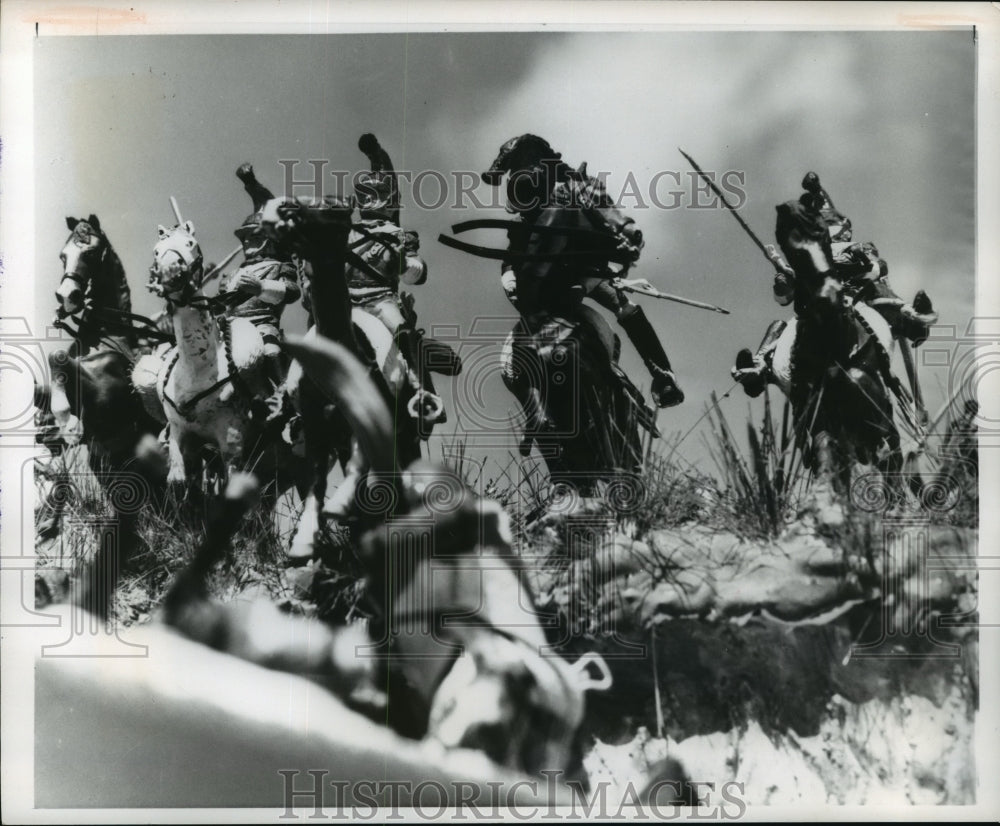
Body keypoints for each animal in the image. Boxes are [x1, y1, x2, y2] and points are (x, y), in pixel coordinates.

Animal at [768, 200, 904, 502]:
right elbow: (826, 459)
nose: (826, 298)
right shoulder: (818, 420)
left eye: (822, 234)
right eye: (785, 238)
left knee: (892, 462)